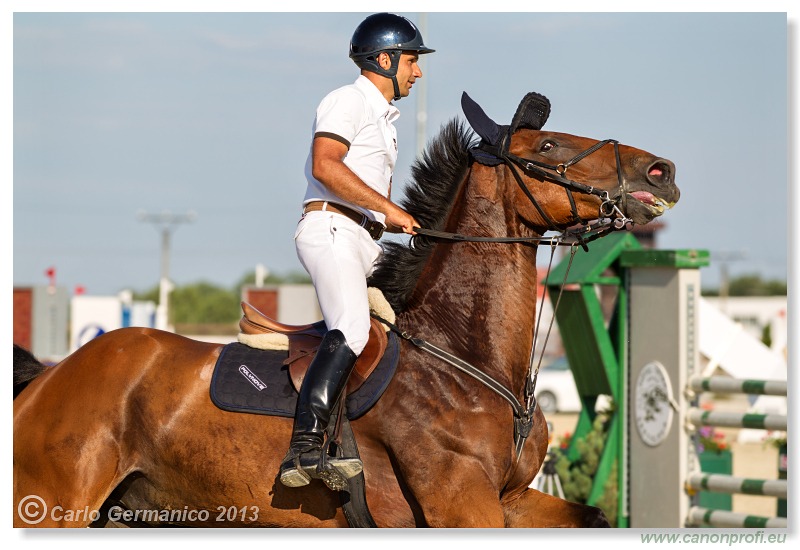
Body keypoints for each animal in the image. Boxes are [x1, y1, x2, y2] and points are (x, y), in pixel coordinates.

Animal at [12, 91, 676, 532]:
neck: (464, 357)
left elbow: (594, 517)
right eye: (547, 145)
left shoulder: (512, 499)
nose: (660, 170)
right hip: (52, 508)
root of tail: (51, 374)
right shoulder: (461, 503)